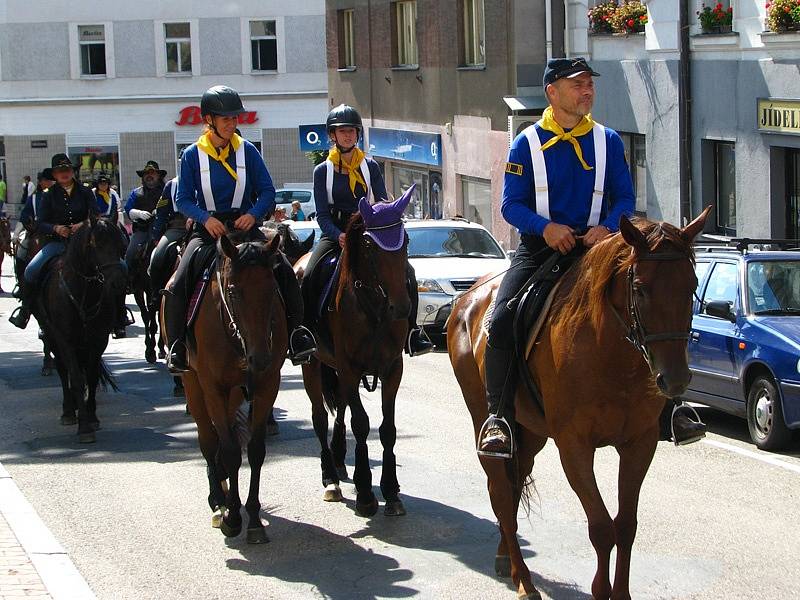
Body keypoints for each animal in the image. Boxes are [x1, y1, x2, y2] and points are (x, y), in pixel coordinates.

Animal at [35, 218, 126, 442]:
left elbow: (91, 376)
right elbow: (75, 377)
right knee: (62, 369)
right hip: (53, 337)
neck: (84, 294)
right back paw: (69, 411)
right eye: (95, 244)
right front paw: (84, 427)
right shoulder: (65, 340)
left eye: (120, 244)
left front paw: (91, 417)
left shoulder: (98, 339)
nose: (118, 282)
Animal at [166, 231, 288, 544]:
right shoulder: (213, 388)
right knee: (209, 440)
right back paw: (217, 500)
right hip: (194, 385)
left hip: (235, 394)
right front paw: (232, 516)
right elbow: (231, 450)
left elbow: (255, 450)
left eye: (273, 289)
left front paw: (254, 519)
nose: (260, 359)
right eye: (233, 292)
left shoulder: (267, 385)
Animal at [298, 188, 416, 516]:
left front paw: (392, 491)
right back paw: (330, 479)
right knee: (319, 417)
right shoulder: (349, 368)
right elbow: (361, 424)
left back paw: (339, 458)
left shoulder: (393, 369)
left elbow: (387, 428)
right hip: (312, 363)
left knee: (340, 409)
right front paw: (365, 493)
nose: (402, 308)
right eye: (369, 245)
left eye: (406, 240)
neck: (374, 307)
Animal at [446, 211, 708, 600]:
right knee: (500, 492)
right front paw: (601, 589)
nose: (674, 380)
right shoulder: (574, 447)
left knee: (513, 485)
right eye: (640, 288)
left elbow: (625, 525)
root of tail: (466, 299)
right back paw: (523, 579)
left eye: (691, 286)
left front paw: (621, 593)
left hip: (531, 432)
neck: (611, 355)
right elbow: (600, 527)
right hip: (485, 417)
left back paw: (505, 556)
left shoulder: (639, 444)